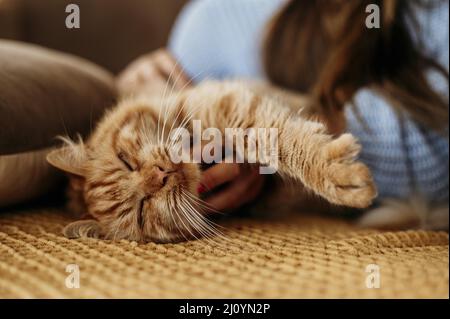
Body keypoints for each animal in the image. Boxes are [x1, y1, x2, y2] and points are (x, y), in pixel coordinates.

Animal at [46, 81, 376, 244]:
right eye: (141, 211)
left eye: (125, 161)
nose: (161, 174)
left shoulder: (227, 105)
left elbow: (274, 139)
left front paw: (334, 173)